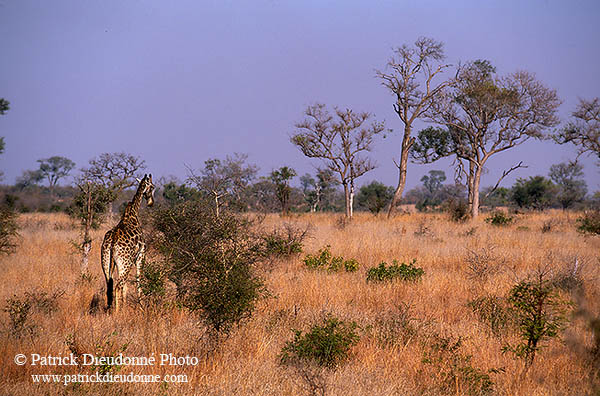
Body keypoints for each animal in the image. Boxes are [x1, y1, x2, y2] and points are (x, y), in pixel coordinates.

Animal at [100, 174, 155, 312]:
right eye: (152, 187)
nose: (151, 202)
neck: (133, 213)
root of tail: (112, 242)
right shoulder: (141, 256)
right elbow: (138, 282)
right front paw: (141, 307)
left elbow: (126, 287)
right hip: (125, 263)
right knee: (118, 286)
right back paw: (117, 312)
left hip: (106, 261)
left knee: (110, 284)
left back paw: (110, 310)